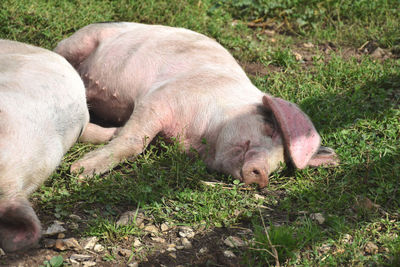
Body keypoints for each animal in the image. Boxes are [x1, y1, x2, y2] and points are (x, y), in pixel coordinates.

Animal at [54, 23, 340, 189]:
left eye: (280, 164)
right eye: (270, 128)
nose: (262, 175)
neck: (197, 139)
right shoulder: (160, 97)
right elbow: (134, 141)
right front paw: (80, 172)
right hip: (80, 40)